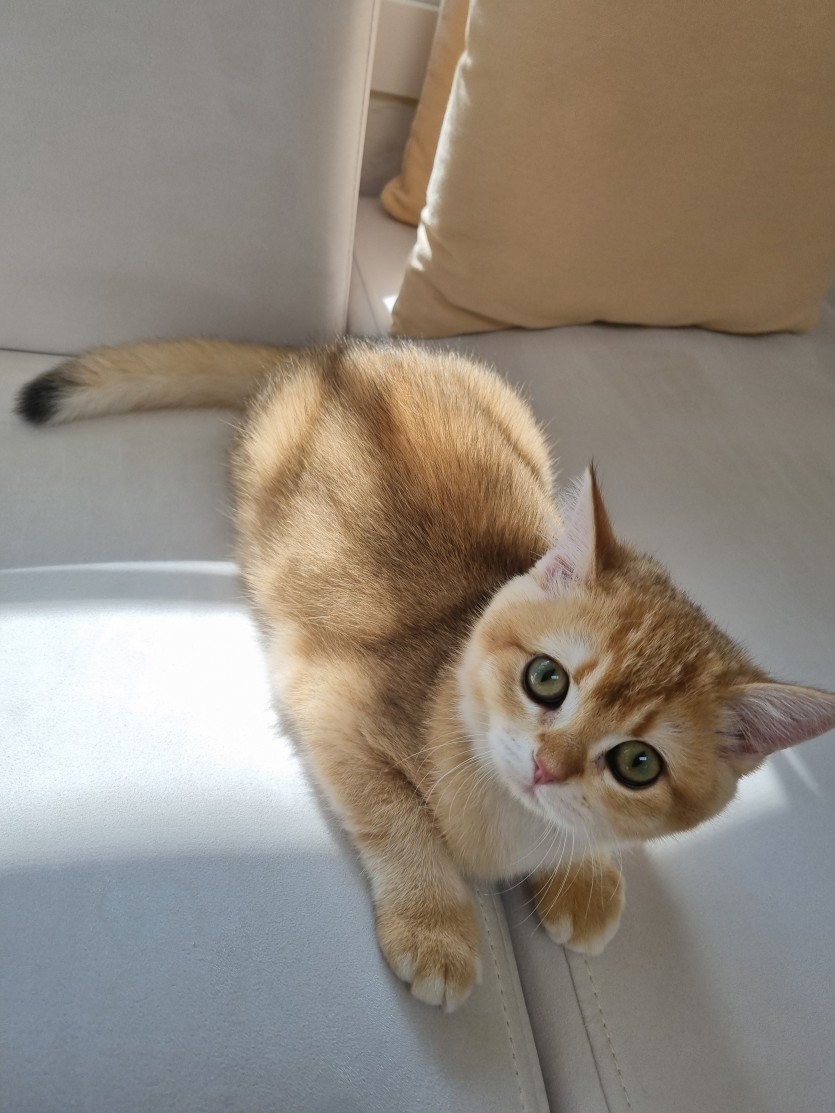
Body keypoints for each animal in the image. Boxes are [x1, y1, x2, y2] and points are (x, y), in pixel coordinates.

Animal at [16, 338, 835, 1012]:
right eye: (546, 679)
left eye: (638, 763)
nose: (546, 766)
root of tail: (336, 352)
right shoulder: (332, 704)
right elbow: (400, 817)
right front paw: (438, 926)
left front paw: (587, 874)